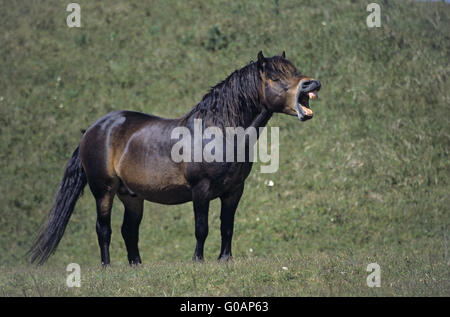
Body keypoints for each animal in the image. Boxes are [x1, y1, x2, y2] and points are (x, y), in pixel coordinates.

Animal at [28, 51, 320, 264]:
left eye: (294, 71)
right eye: (275, 77)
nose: (312, 83)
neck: (219, 132)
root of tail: (93, 129)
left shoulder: (234, 191)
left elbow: (227, 226)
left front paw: (225, 259)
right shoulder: (201, 190)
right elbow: (201, 228)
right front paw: (198, 260)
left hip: (131, 196)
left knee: (128, 231)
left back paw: (136, 266)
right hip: (104, 191)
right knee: (104, 229)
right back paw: (107, 266)